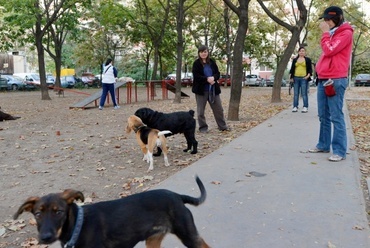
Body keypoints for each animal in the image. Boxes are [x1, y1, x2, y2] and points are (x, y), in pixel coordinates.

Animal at [13, 176, 211, 248]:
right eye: (37, 214)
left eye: (59, 212)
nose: (45, 237)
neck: (77, 227)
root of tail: (177, 196)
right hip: (152, 240)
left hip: (188, 235)